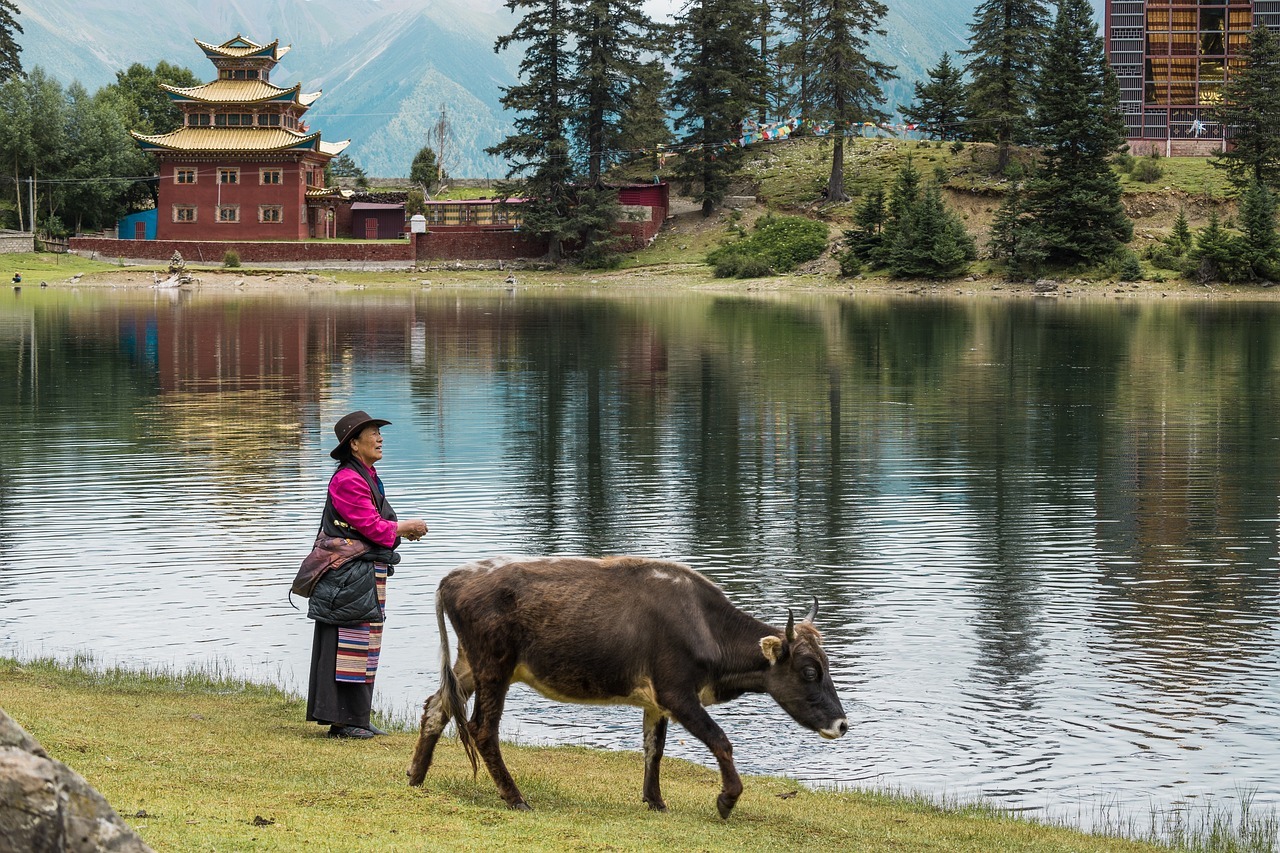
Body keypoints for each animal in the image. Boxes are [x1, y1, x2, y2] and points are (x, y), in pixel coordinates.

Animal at [407, 555, 849, 814]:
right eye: (810, 671)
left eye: (826, 665)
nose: (842, 724)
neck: (703, 624)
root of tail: (458, 575)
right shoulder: (677, 692)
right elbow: (720, 740)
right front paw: (727, 799)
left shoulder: (656, 700)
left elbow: (654, 749)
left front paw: (654, 800)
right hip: (494, 667)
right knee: (482, 728)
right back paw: (515, 797)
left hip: (468, 665)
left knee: (436, 707)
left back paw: (415, 776)